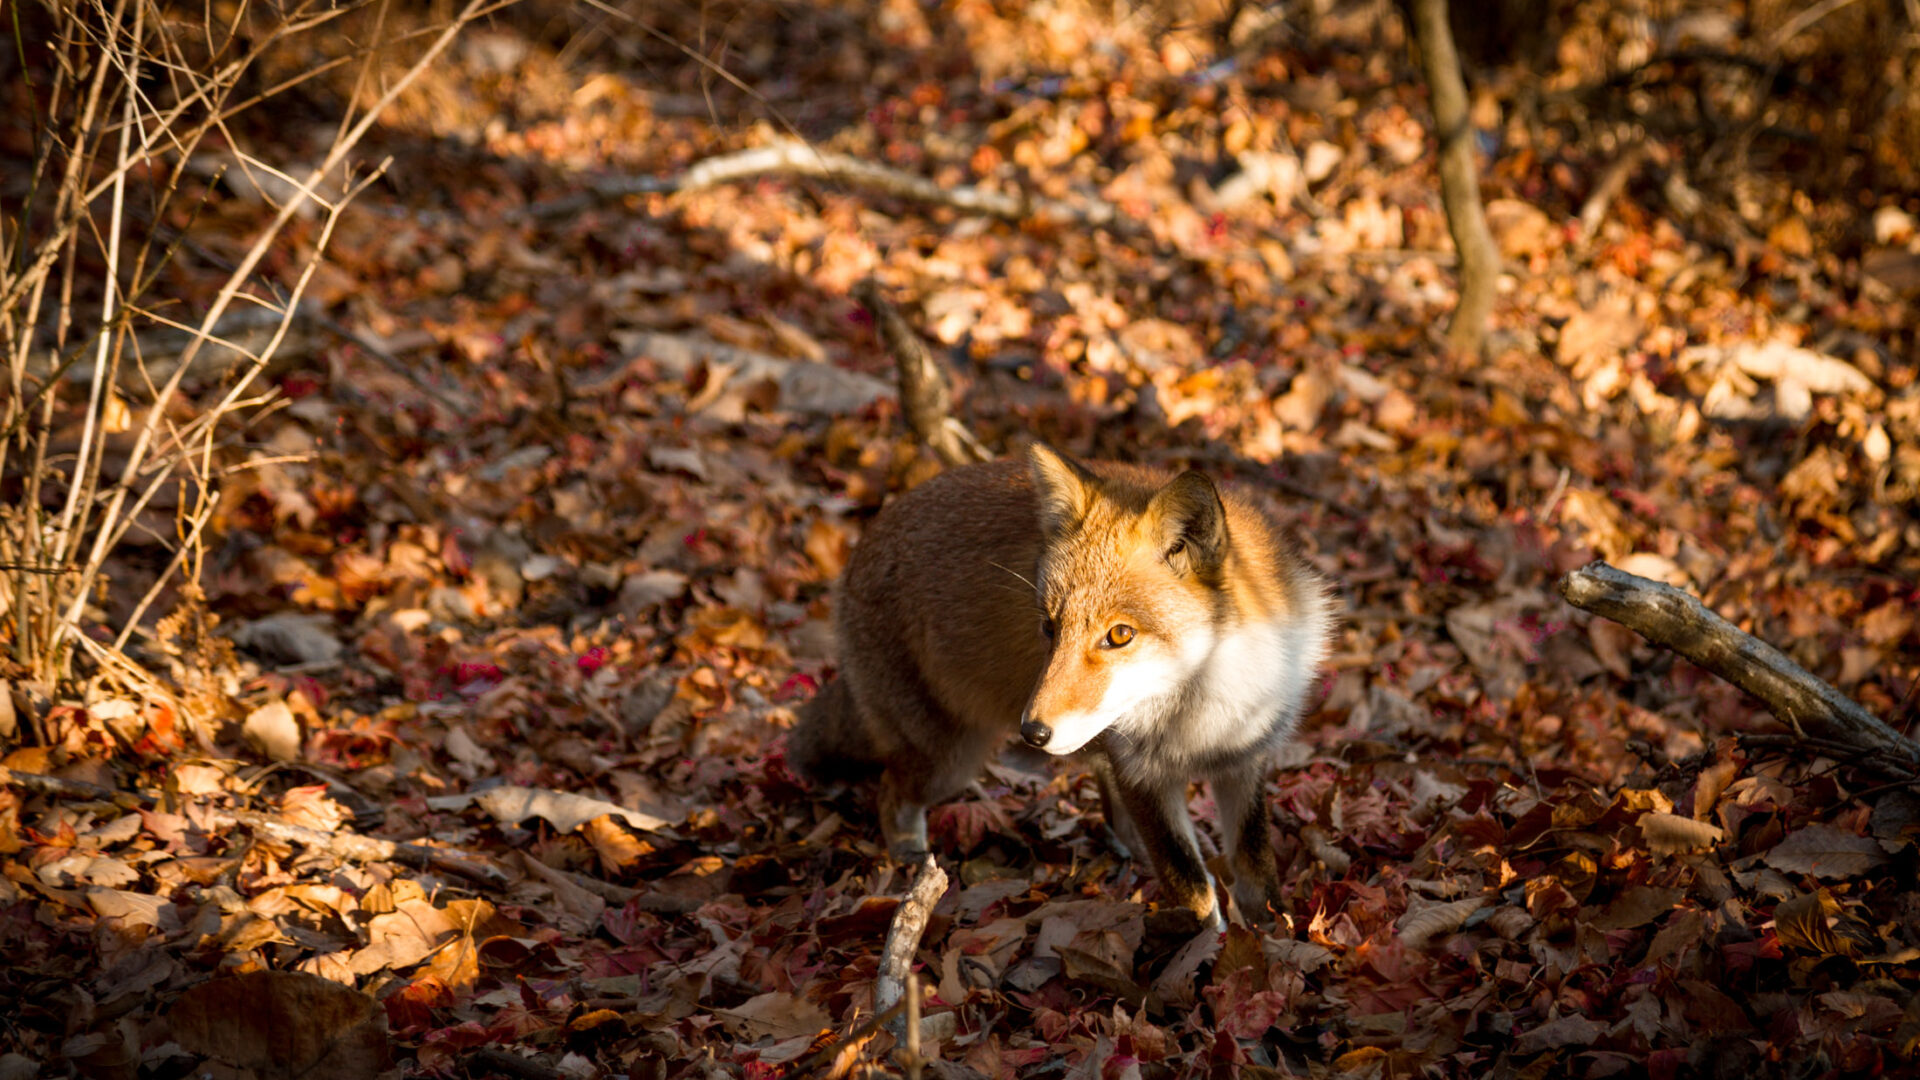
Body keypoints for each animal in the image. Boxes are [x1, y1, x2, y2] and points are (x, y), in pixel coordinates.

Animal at [789, 444, 1334, 928]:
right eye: (1049, 627)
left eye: (1120, 635)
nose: (1032, 732)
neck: (1202, 714)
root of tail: (862, 544)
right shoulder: (1143, 774)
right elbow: (1192, 886)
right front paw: (1206, 956)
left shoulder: (1244, 760)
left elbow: (1256, 870)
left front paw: (1270, 941)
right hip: (948, 762)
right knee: (890, 795)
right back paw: (909, 865)